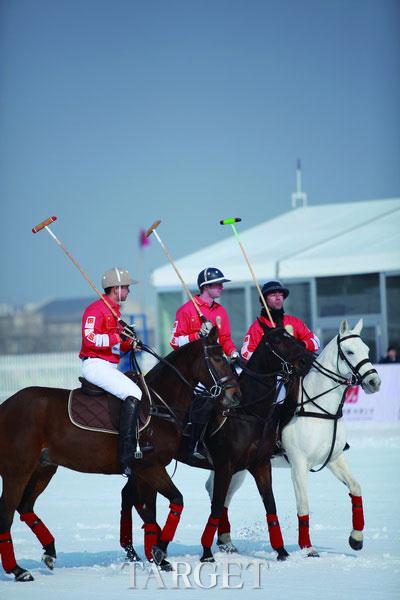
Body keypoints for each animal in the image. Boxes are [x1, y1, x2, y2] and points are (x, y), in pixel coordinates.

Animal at [0, 328, 241, 580]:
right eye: (217, 358)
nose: (236, 396)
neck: (158, 405)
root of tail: (5, 406)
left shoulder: (145, 471)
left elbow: (149, 513)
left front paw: (157, 557)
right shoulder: (149, 467)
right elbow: (175, 501)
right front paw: (159, 551)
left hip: (44, 467)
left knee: (25, 506)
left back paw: (49, 551)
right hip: (17, 470)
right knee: (6, 513)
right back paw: (17, 570)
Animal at [206, 318, 382, 556]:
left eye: (367, 349)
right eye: (350, 351)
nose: (374, 382)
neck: (320, 408)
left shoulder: (334, 458)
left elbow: (355, 487)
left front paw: (356, 538)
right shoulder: (299, 464)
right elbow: (303, 505)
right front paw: (308, 548)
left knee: (218, 492)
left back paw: (225, 541)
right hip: (236, 467)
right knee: (219, 492)